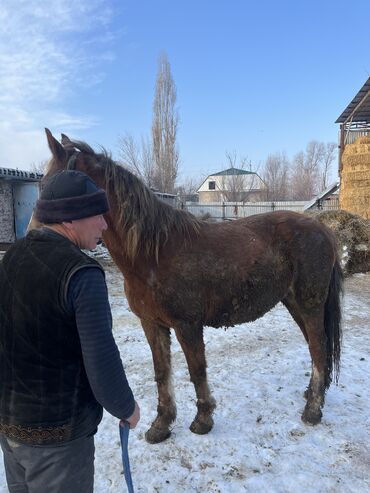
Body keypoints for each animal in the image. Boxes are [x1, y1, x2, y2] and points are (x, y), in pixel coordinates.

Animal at [29, 129, 344, 444]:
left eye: (50, 187)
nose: (35, 235)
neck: (154, 253)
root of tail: (323, 230)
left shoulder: (187, 325)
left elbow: (196, 370)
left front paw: (203, 420)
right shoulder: (152, 323)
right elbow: (161, 371)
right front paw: (161, 424)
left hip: (309, 304)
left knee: (318, 346)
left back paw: (312, 410)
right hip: (294, 304)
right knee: (316, 346)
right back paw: (313, 395)